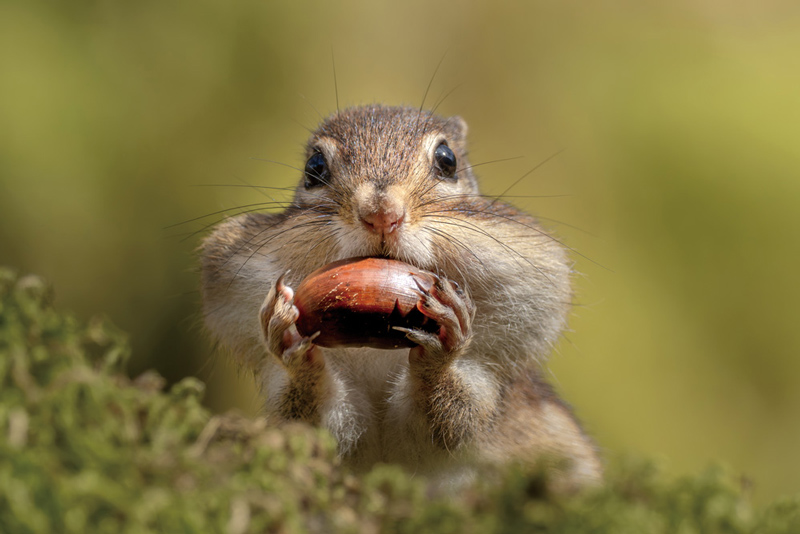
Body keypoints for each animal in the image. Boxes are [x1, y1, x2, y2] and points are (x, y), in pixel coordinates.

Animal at [200, 104, 602, 491]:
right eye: (314, 167)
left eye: (447, 160)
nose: (381, 213)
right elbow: (320, 423)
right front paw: (291, 345)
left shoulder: (489, 379)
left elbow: (452, 421)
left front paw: (442, 350)